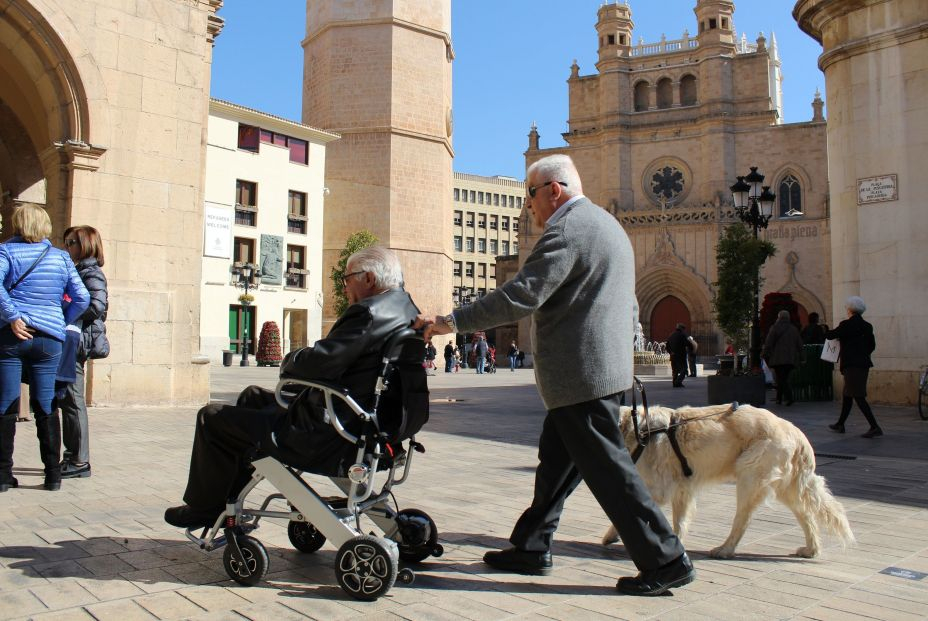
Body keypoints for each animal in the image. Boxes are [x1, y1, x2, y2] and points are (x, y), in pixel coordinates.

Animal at [600, 402, 856, 556]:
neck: (637, 430)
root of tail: (794, 431)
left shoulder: (660, 489)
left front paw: (612, 534)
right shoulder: (683, 490)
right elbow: (679, 521)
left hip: (750, 476)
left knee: (743, 520)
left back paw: (725, 549)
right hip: (786, 486)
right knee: (807, 515)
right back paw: (811, 549)